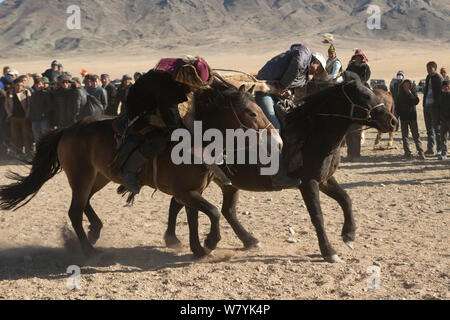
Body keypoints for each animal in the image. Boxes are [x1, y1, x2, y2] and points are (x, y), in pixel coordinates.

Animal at [0, 82, 280, 258]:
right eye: (251, 113)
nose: (277, 141)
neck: (194, 140)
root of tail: (67, 129)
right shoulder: (185, 192)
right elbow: (211, 211)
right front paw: (210, 243)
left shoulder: (190, 191)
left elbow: (194, 217)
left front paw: (198, 249)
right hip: (81, 176)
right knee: (74, 211)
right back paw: (91, 251)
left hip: (98, 176)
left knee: (85, 203)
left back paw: (95, 230)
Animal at [164, 79, 398, 262]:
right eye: (365, 97)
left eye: (372, 93)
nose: (393, 121)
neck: (313, 134)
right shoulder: (308, 183)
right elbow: (318, 216)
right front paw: (329, 251)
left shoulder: (324, 180)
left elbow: (346, 200)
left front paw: (349, 235)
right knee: (182, 202)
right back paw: (175, 239)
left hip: (227, 183)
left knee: (223, 210)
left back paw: (248, 240)